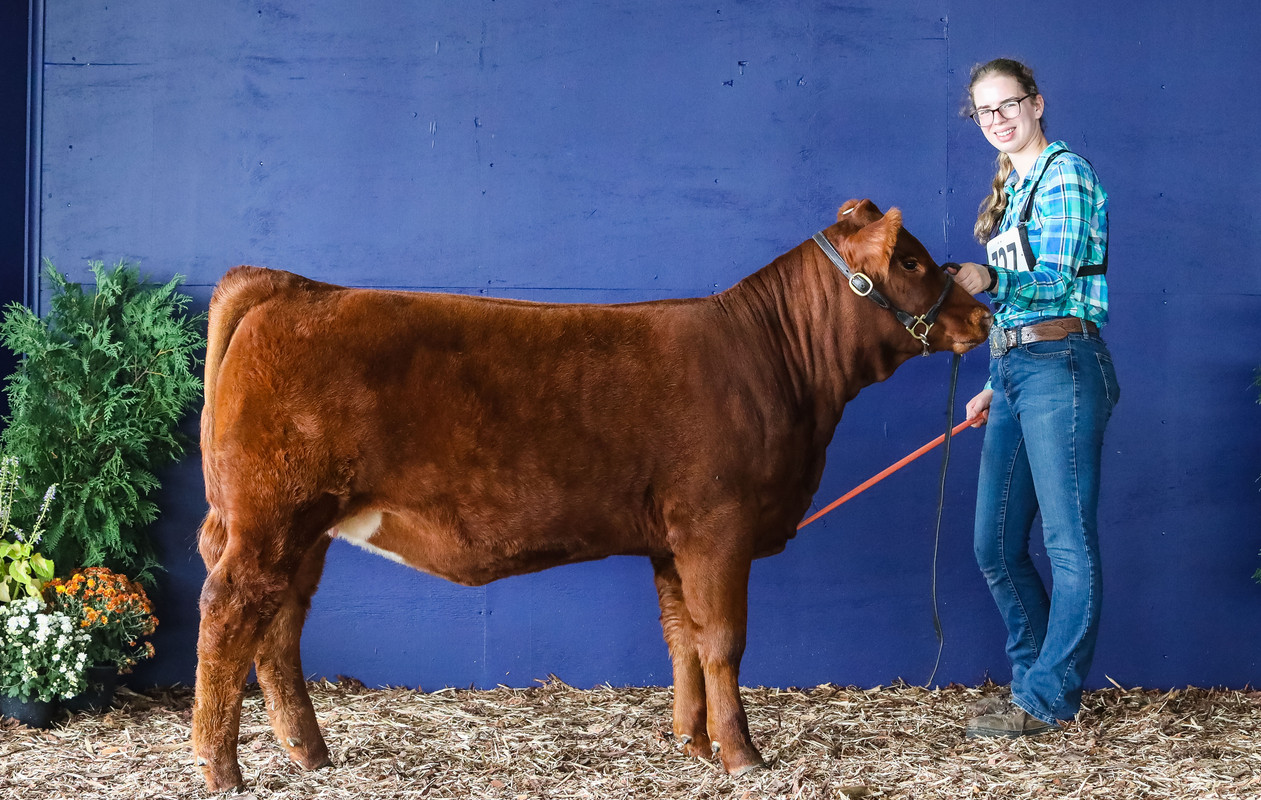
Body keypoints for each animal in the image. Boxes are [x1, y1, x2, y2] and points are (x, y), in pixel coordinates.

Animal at [192, 199, 991, 792]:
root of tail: (291, 285)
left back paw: (309, 754)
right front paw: (742, 756)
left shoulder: (672, 540)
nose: (983, 316)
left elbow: (682, 637)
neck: (779, 366)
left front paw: (691, 743)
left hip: (306, 524)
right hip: (272, 513)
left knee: (281, 624)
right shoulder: (717, 525)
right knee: (230, 609)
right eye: (911, 261)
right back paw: (219, 767)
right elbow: (724, 640)